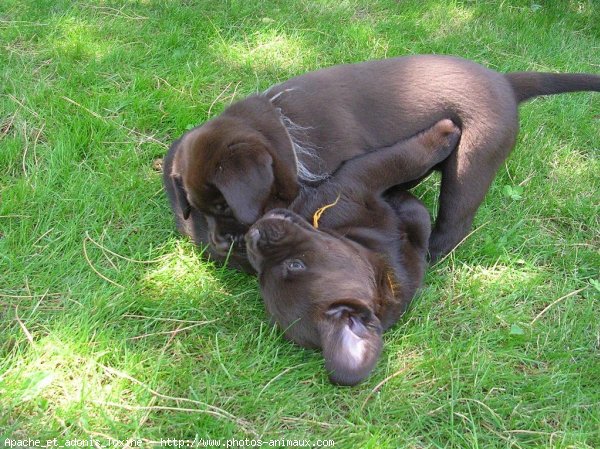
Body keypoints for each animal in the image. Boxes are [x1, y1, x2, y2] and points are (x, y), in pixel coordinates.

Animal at [244, 119, 460, 384]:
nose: (252, 236)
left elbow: (417, 215)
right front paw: (445, 132)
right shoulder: (355, 181)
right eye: (295, 264)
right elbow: (403, 158)